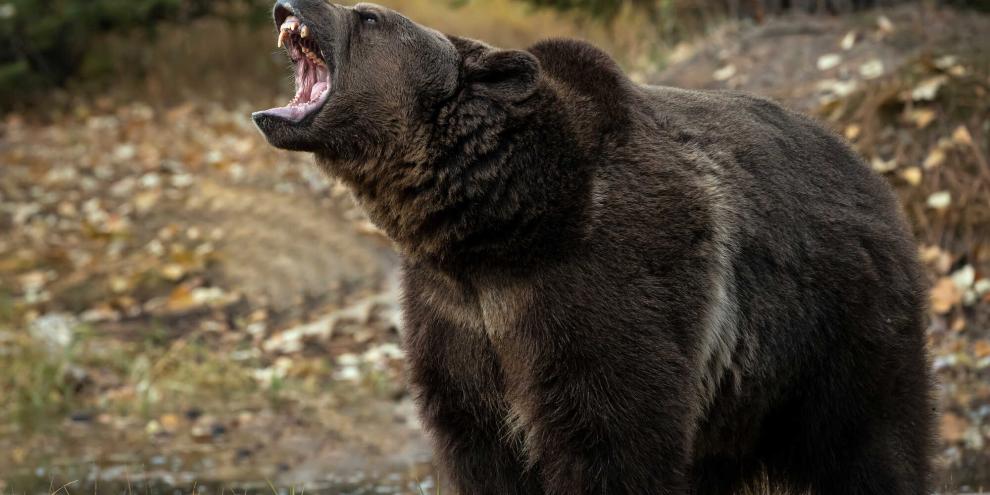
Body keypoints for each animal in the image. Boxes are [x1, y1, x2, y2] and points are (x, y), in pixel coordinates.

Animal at [252, 2, 936, 494]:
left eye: (368, 15)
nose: (288, 0)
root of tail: (870, 171)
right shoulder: (455, 318)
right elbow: (478, 445)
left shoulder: (604, 291)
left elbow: (609, 438)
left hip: (835, 333)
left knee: (871, 444)